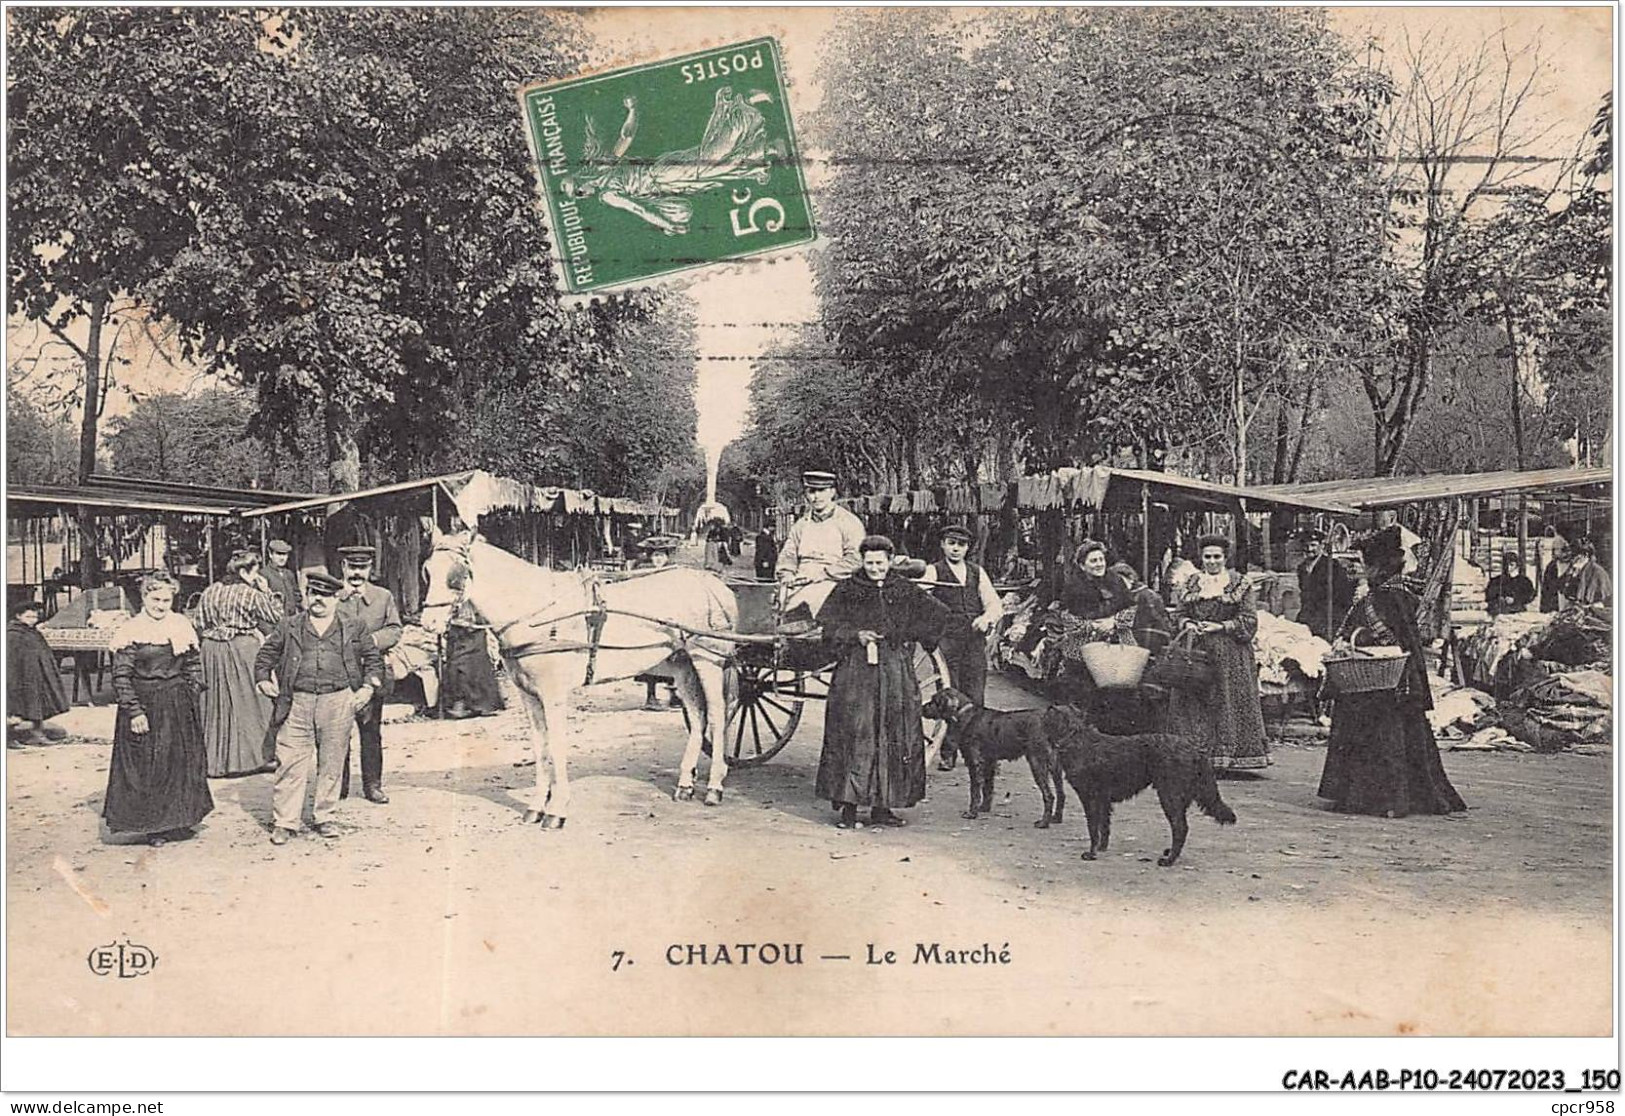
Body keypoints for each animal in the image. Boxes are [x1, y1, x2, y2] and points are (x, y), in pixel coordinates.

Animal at [425, 529, 744, 825]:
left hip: (708, 660)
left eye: (456, 574)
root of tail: (714, 584)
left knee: (717, 716)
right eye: (427, 569)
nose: (428, 624)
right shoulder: (529, 696)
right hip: (681, 664)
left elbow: (556, 746)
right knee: (698, 714)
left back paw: (715, 786)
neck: (538, 614)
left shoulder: (553, 695)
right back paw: (685, 784)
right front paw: (536, 806)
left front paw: (556, 809)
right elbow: (540, 748)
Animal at [923, 685, 1072, 825]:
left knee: (1049, 795)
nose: (922, 707)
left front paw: (972, 813)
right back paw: (1056, 818)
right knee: (1061, 793)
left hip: (1037, 763)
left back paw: (1043, 823)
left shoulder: (975, 763)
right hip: (1055, 767)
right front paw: (984, 808)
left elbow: (975, 791)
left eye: (935, 700)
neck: (966, 715)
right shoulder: (989, 762)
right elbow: (988, 787)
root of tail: (1047, 721)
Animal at [1046, 701, 1235, 870]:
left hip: (1169, 796)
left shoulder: (1090, 798)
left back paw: (1169, 860)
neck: (1074, 736)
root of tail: (1196, 750)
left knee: (1180, 828)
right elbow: (1104, 826)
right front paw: (1101, 848)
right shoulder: (1103, 800)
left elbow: (1093, 827)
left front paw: (1091, 853)